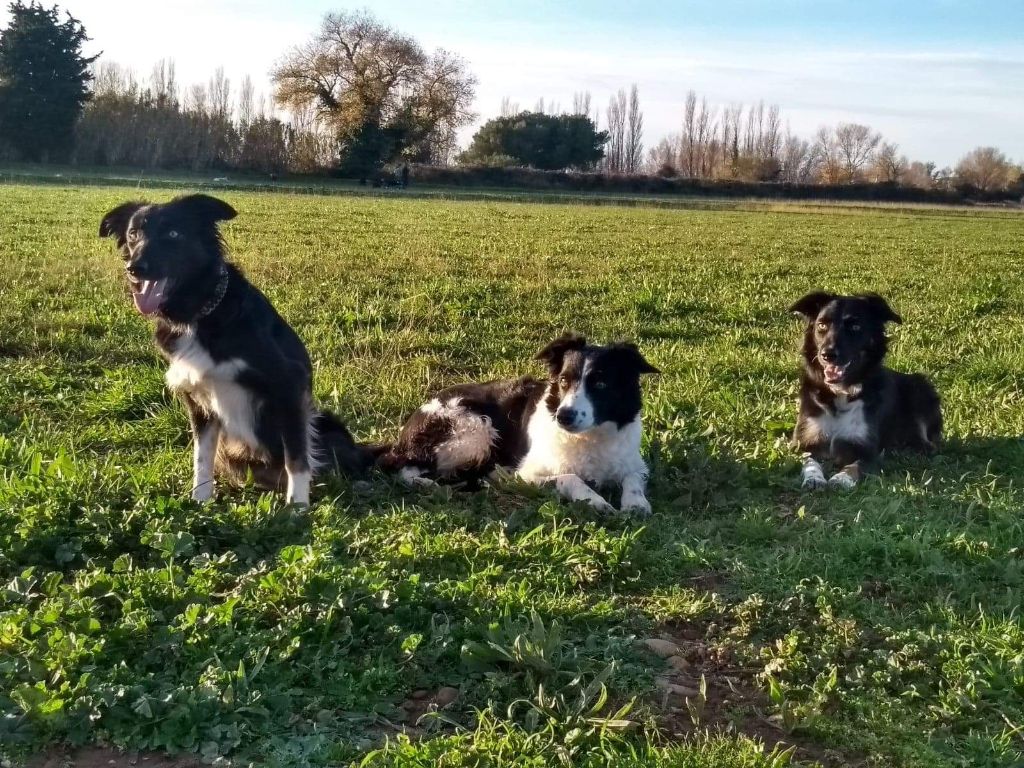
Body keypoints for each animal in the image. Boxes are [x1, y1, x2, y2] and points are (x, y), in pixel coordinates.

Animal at [98, 193, 372, 505]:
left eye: (173, 233)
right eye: (133, 234)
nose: (135, 268)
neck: (199, 314)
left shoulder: (288, 386)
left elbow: (297, 459)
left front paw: (298, 507)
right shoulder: (199, 401)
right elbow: (201, 458)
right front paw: (201, 499)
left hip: (325, 423)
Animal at [376, 333, 655, 514]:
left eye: (600, 384)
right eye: (563, 381)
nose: (563, 416)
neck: (590, 436)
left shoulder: (635, 464)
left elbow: (633, 479)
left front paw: (636, 504)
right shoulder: (527, 474)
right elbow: (570, 477)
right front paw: (595, 501)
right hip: (475, 429)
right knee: (403, 468)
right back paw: (429, 484)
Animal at [790, 290, 942, 489]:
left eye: (855, 326)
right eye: (821, 325)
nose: (827, 355)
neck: (841, 393)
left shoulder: (866, 449)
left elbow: (854, 466)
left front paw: (841, 479)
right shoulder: (804, 443)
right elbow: (810, 461)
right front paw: (814, 478)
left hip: (920, 387)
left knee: (926, 444)